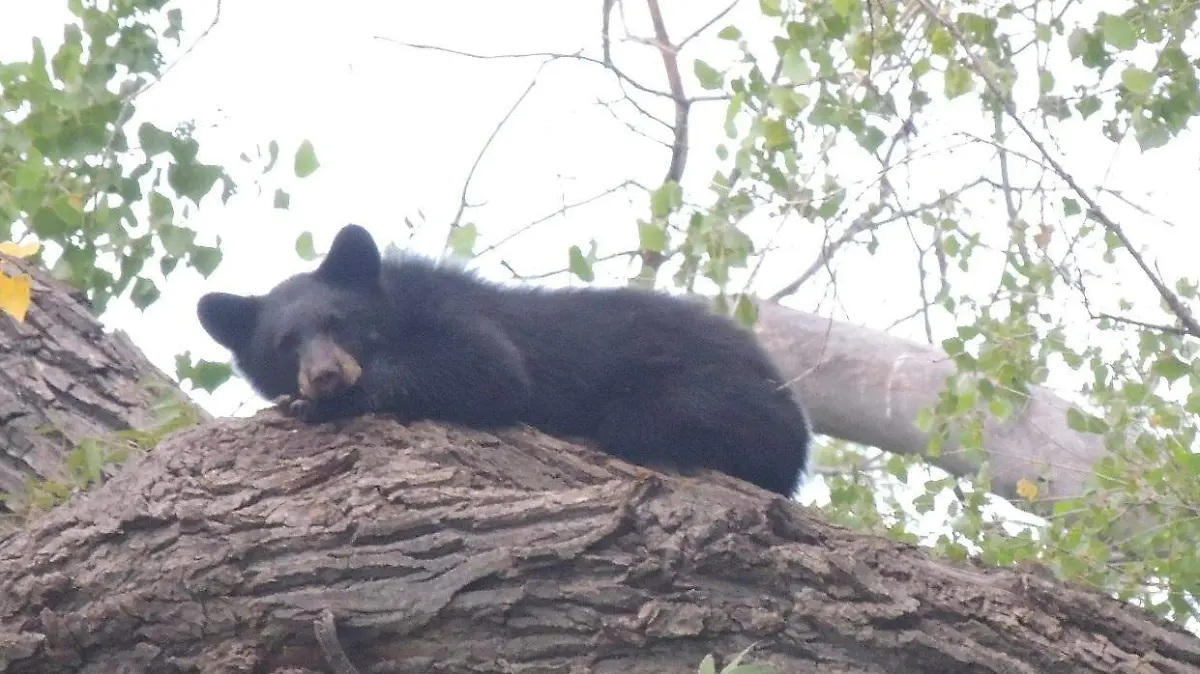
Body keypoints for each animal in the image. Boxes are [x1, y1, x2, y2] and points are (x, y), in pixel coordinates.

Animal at [196, 224, 812, 497]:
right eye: (284, 343)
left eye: (337, 322)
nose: (325, 375)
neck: (398, 308)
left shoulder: (456, 314)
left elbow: (490, 370)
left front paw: (322, 405)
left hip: (718, 396)